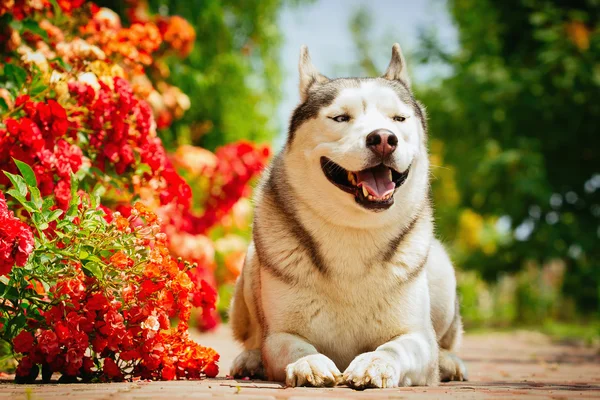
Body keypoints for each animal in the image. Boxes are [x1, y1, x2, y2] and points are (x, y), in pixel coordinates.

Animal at [227, 43, 466, 388]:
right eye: (340, 118)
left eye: (399, 118)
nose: (384, 138)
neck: (353, 230)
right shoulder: (279, 335)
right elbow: (292, 344)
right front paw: (309, 362)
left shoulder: (417, 337)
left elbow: (397, 347)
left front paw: (376, 362)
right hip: (249, 265)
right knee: (252, 337)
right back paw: (251, 358)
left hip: (442, 272)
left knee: (446, 341)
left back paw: (449, 362)